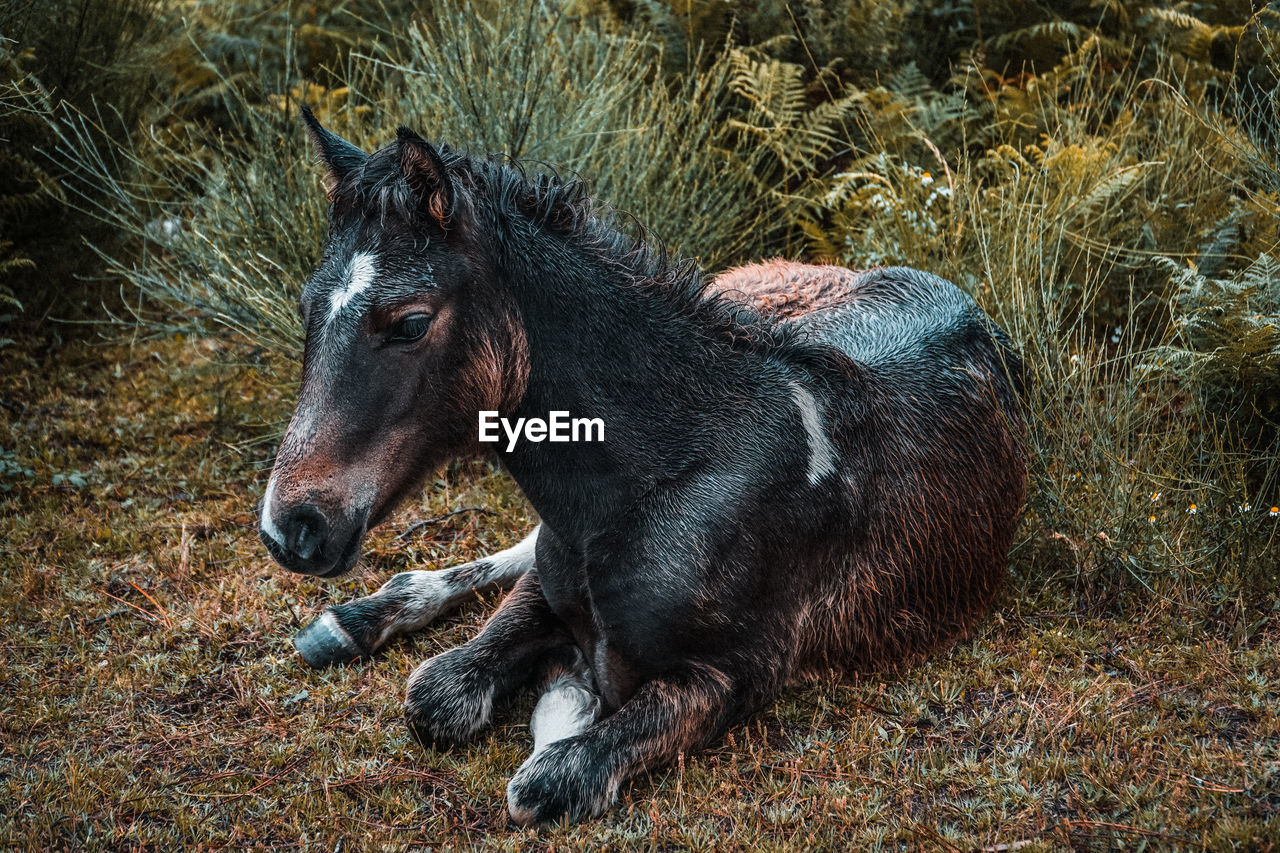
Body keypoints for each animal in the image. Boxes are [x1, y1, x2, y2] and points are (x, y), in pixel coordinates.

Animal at [259, 106, 1029, 824]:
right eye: (305, 306)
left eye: (410, 322)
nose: (290, 526)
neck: (663, 474)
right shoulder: (551, 578)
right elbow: (441, 691)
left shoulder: (736, 672)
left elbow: (547, 776)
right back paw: (355, 618)